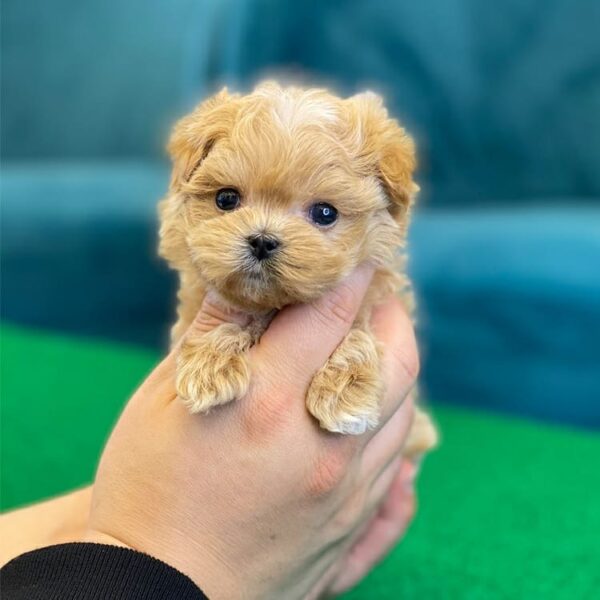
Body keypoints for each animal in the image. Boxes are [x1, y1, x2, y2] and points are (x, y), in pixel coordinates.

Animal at [158, 82, 436, 452]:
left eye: (325, 213)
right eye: (226, 199)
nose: (262, 240)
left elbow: (359, 331)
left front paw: (345, 393)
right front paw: (209, 365)